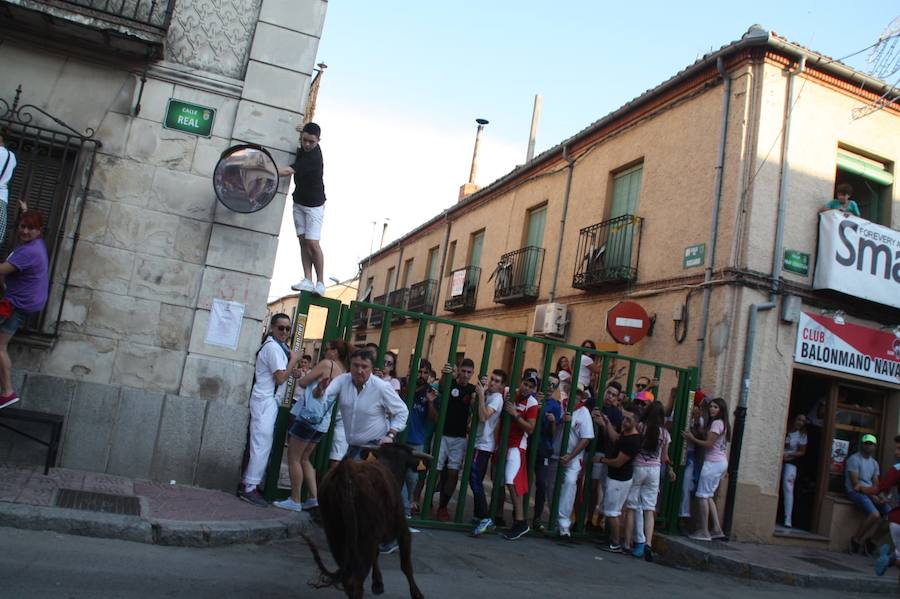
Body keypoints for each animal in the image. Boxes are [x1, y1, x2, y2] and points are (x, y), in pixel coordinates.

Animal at [300, 442, 430, 596]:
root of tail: (345, 472)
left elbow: (377, 554)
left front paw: (378, 583)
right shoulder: (402, 530)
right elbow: (406, 565)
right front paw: (416, 593)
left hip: (335, 534)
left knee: (348, 576)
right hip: (363, 538)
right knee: (356, 579)